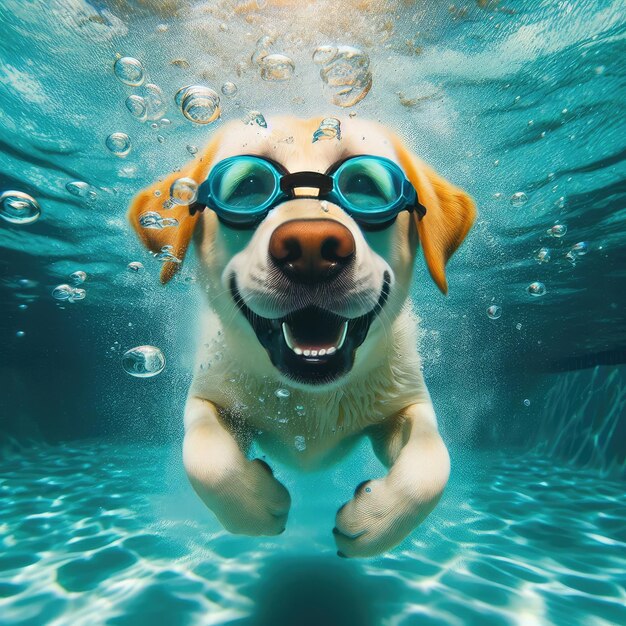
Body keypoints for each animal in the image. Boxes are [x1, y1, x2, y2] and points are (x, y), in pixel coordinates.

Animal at [127, 116, 472, 556]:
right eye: (247, 188)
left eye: (365, 185)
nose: (311, 247)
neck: (311, 397)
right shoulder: (208, 397)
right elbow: (204, 457)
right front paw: (256, 507)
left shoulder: (409, 402)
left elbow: (433, 463)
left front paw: (374, 521)